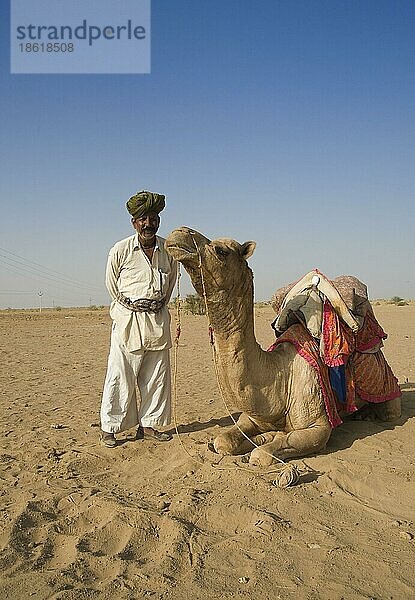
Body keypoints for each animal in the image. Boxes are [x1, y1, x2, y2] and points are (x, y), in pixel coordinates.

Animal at [166, 227, 404, 466]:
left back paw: (367, 414)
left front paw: (265, 444)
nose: (179, 232)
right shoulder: (251, 416)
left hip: (388, 392)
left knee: (389, 412)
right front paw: (261, 438)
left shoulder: (319, 426)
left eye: (220, 250)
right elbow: (223, 441)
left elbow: (263, 454)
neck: (280, 380)